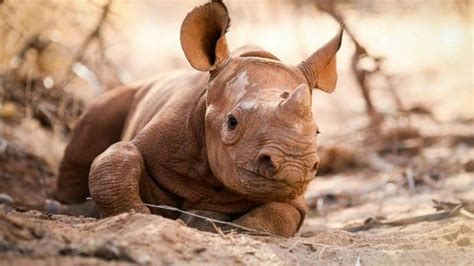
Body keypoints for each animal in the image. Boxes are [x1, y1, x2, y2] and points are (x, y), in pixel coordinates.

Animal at [51, 0, 342, 237]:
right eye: (232, 122)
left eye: (317, 132)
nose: (294, 167)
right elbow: (116, 160)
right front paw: (142, 218)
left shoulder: (293, 197)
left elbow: (282, 213)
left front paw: (223, 225)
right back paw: (62, 205)